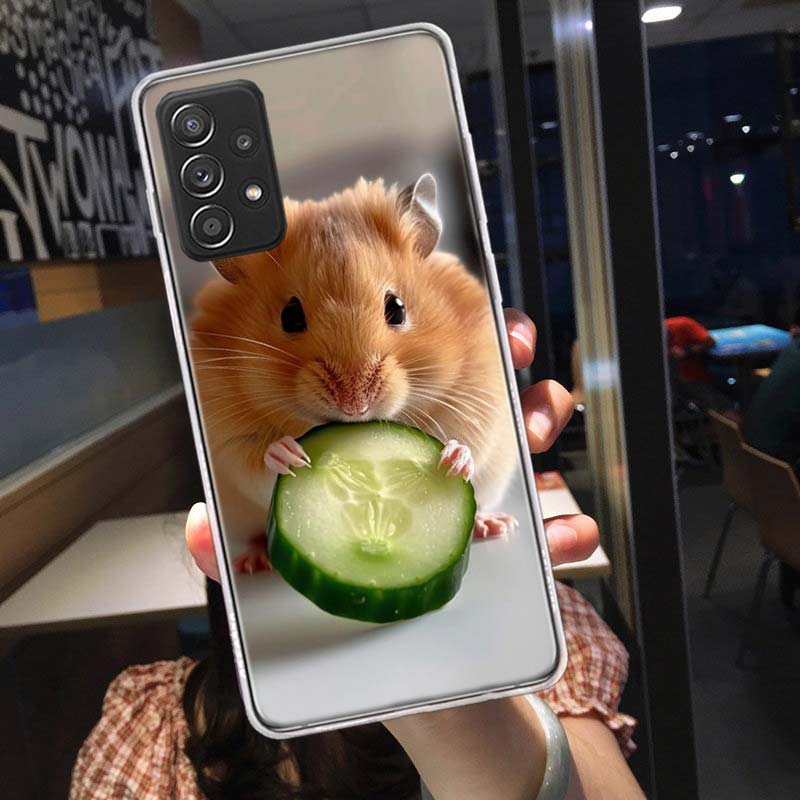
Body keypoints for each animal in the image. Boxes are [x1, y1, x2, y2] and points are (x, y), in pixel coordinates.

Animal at [190, 174, 517, 572]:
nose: (354, 404)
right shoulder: (227, 435)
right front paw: (288, 453)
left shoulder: (477, 401)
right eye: (290, 316)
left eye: (397, 308)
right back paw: (253, 562)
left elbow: (469, 441)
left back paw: (496, 524)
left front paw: (454, 458)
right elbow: (257, 460)